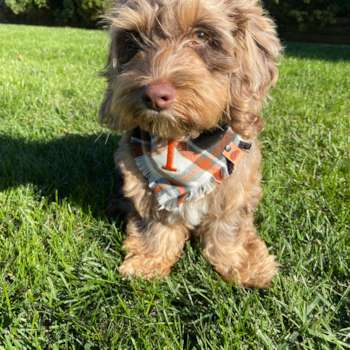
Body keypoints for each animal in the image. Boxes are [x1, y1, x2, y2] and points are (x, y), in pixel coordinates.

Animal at [98, 0, 282, 288]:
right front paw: (148, 263)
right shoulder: (145, 190)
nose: (154, 95)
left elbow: (228, 229)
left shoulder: (235, 190)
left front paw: (242, 265)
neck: (182, 143)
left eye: (202, 35)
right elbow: (157, 226)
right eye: (133, 39)